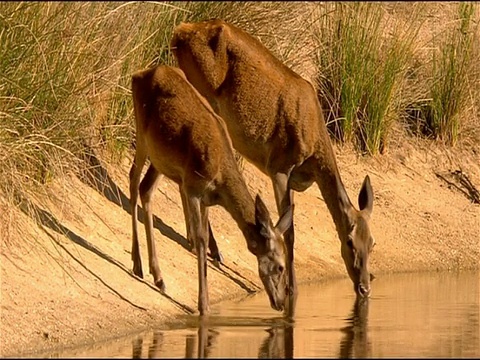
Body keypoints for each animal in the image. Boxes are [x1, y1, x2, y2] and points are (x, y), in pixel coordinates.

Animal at [128, 64, 292, 316]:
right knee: (133, 181)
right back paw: (137, 264)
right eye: (280, 266)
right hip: (141, 135)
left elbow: (204, 237)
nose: (281, 303)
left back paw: (158, 277)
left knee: (146, 189)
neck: (220, 176)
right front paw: (203, 306)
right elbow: (201, 239)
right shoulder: (193, 188)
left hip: (161, 159)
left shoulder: (204, 197)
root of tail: (137, 75)